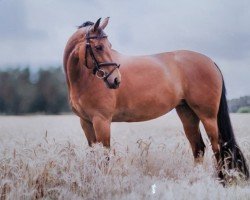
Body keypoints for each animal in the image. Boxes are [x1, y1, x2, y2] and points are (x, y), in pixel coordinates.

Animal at [64, 16, 248, 180]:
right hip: (187, 113)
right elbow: (93, 154)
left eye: (108, 46)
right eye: (99, 47)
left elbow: (104, 155)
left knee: (218, 146)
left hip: (207, 116)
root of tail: (210, 62)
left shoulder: (101, 121)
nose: (116, 80)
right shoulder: (86, 122)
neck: (84, 79)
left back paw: (222, 179)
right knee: (199, 147)